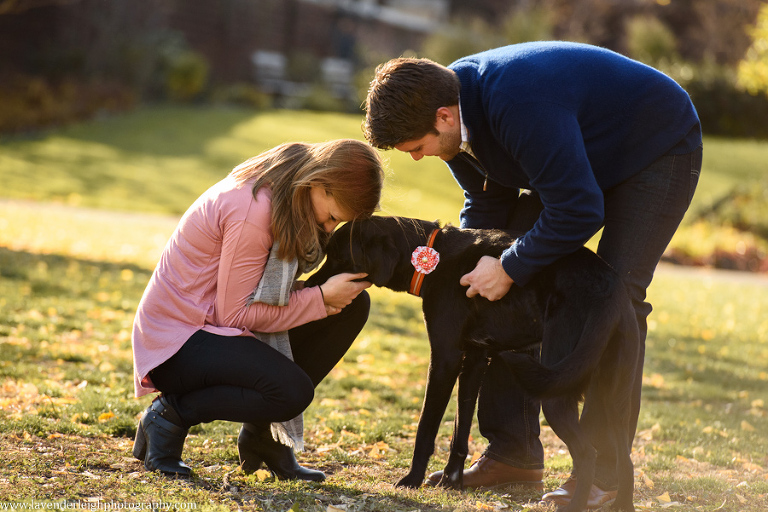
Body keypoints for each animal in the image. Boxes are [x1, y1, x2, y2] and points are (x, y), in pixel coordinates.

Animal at [308, 217, 640, 512]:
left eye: (338, 256)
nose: (308, 284)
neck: (435, 255)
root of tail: (610, 291)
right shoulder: (476, 360)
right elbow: (460, 427)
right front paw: (452, 481)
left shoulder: (445, 358)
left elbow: (426, 427)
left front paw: (412, 480)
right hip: (615, 396)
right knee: (625, 458)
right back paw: (623, 505)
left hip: (556, 391)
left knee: (587, 454)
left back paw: (576, 505)